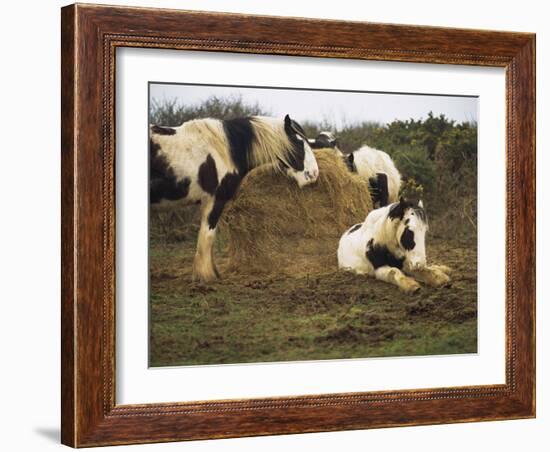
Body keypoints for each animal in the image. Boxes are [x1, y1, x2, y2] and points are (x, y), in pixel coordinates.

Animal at [151, 113, 324, 282]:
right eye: (298, 143)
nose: (314, 174)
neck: (224, 150)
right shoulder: (215, 200)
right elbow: (207, 237)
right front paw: (206, 276)